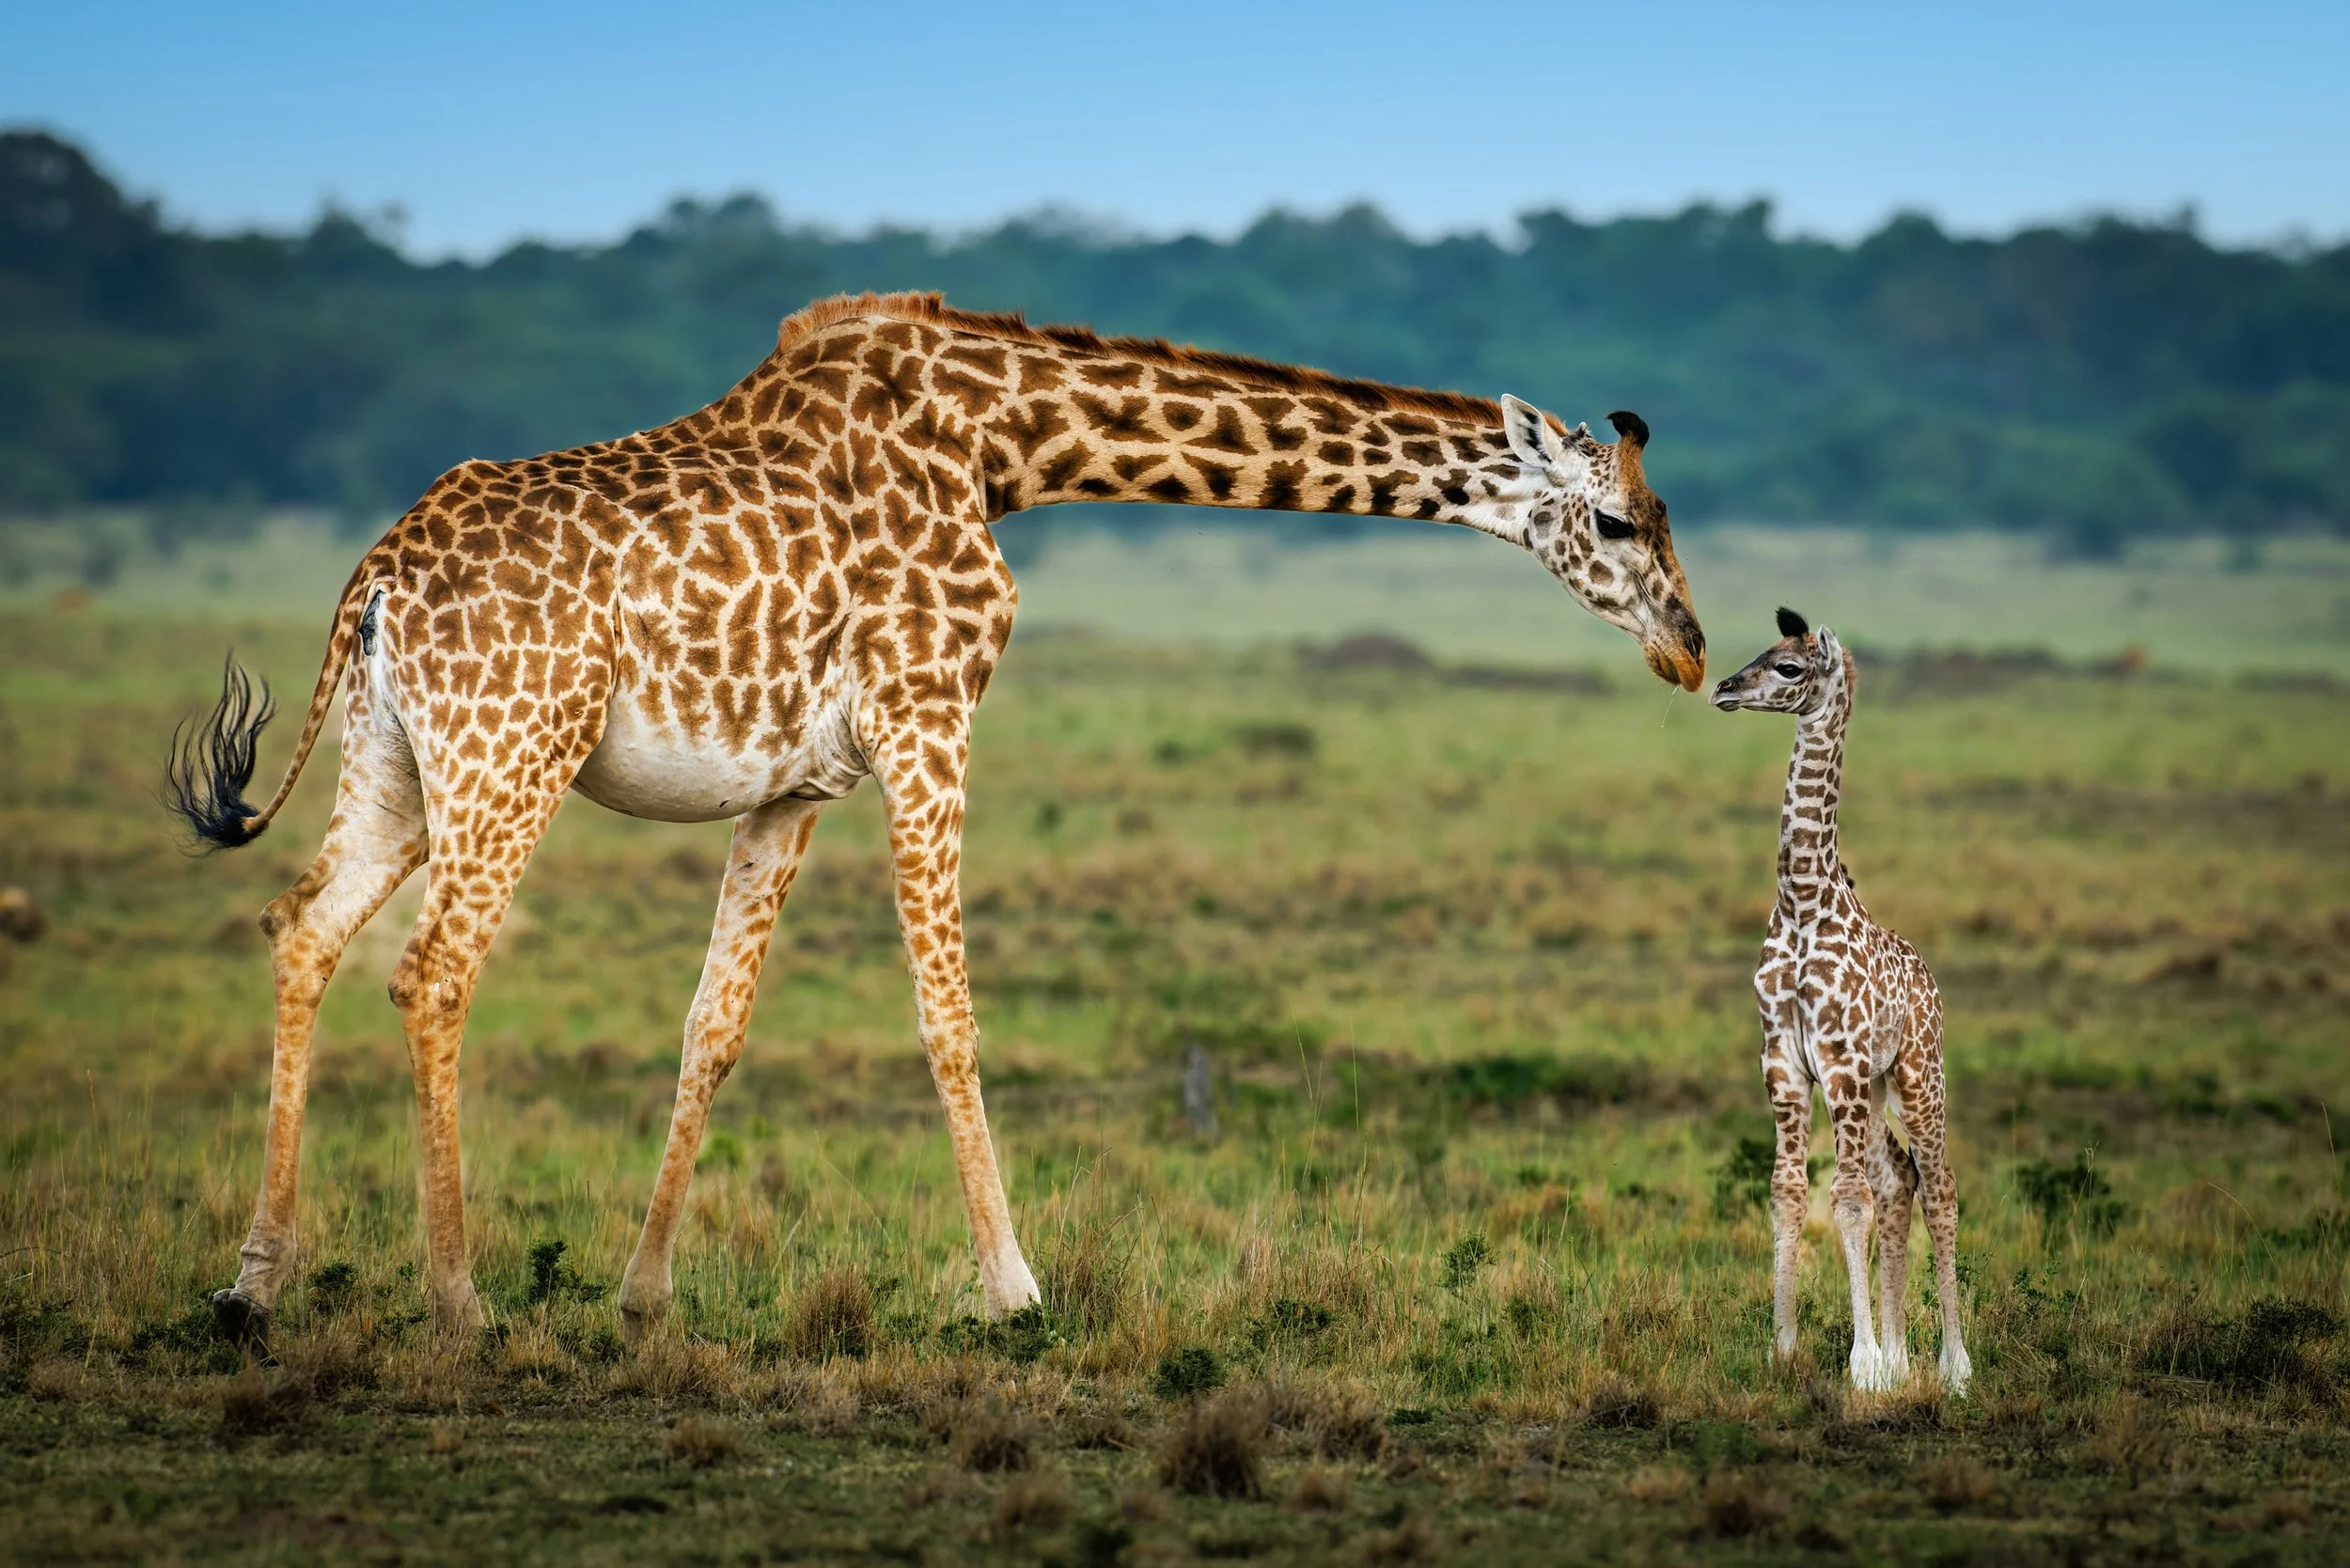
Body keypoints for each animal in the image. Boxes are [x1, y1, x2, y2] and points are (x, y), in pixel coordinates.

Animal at [165, 291, 1708, 1349]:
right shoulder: (929, 716)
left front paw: (645, 1293)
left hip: (397, 764)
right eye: (1617, 525)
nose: (1691, 654)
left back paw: (255, 1283)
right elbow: (949, 1014)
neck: (1005, 442)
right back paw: (457, 1299)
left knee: (303, 929)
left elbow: (714, 1025)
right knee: (433, 971)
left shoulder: (794, 782)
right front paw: (1015, 1288)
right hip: (513, 750)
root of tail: (373, 576)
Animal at [1711, 608, 1969, 1394]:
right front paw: (1787, 1348)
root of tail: (1928, 976)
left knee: (1937, 1185)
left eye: (1790, 668)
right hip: (1877, 1088)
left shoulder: (1844, 1062)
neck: (1803, 901)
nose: (1724, 689)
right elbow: (1789, 1192)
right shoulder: (1786, 1064)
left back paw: (1953, 1365)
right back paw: (1905, 1355)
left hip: (1916, 1071)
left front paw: (1862, 1364)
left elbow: (1848, 1200)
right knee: (1900, 1177)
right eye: (1763, 652)